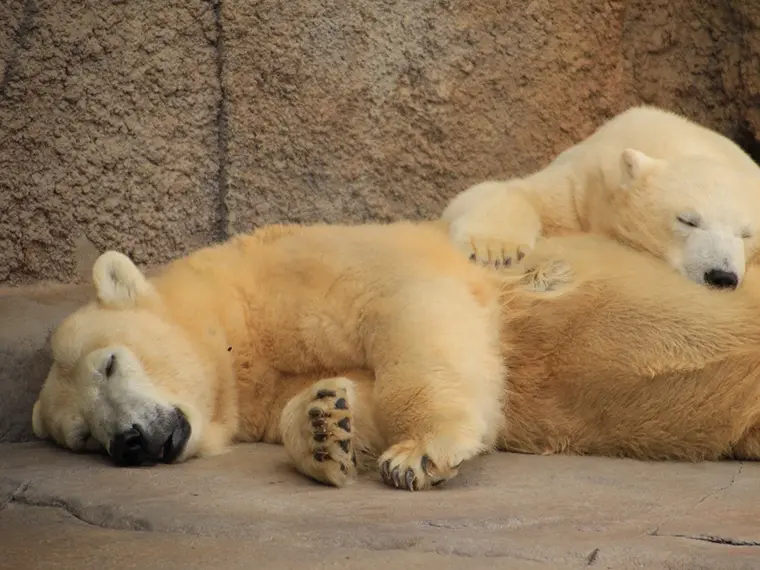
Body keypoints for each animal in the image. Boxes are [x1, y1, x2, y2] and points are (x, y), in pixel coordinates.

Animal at [29, 221, 760, 488]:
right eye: (81, 434)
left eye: (110, 363)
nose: (128, 441)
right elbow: (356, 400)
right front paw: (324, 424)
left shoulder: (320, 260)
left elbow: (411, 314)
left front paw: (419, 455)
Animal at [442, 103, 760, 288]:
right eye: (687, 220)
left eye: (747, 234)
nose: (722, 277)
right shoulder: (585, 184)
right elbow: (512, 192)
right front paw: (495, 251)